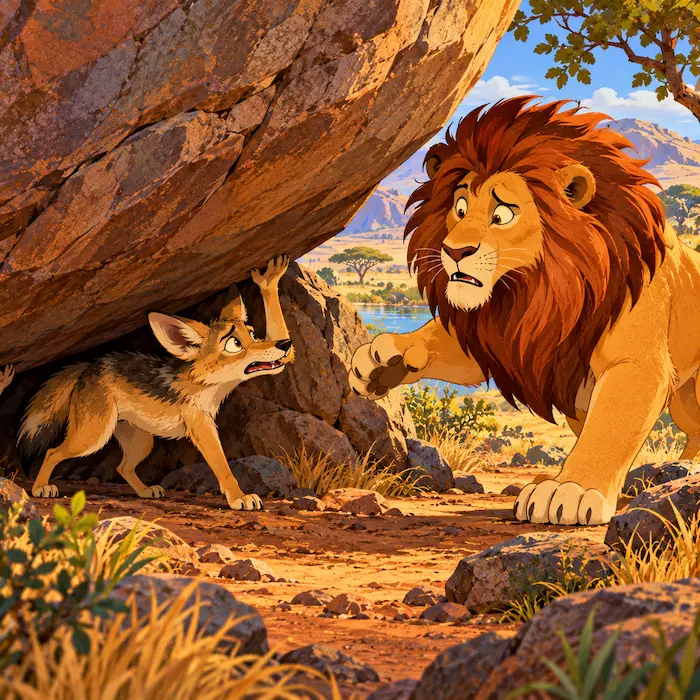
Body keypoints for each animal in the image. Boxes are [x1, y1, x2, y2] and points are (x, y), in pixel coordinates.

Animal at [349, 96, 700, 526]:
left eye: (502, 215)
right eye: (460, 208)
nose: (453, 251)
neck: (538, 289)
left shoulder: (635, 360)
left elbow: (609, 428)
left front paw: (573, 489)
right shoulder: (499, 336)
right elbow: (442, 344)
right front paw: (383, 358)